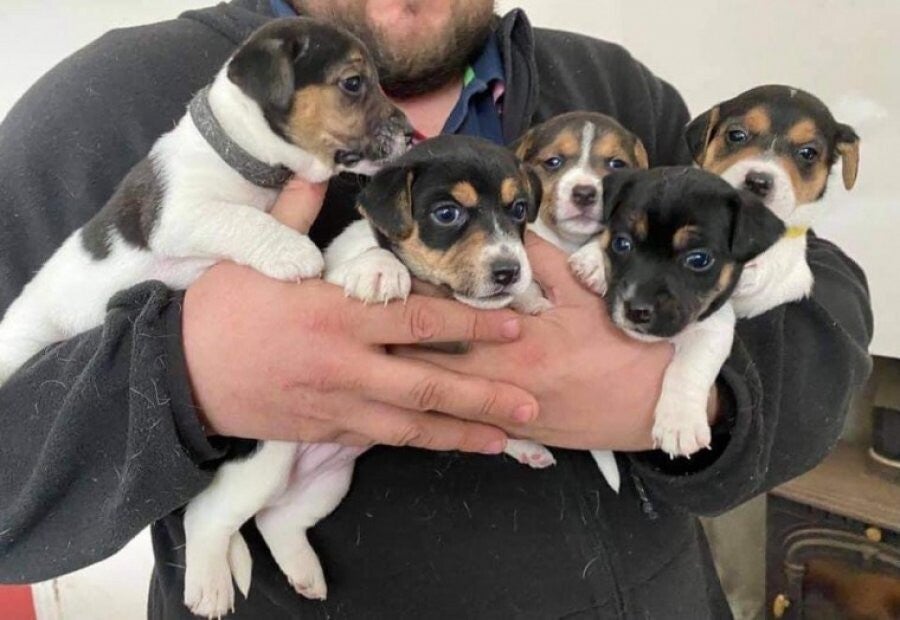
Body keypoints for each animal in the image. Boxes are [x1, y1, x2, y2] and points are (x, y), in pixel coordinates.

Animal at [0, 17, 410, 619]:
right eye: (354, 83)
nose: (413, 135)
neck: (246, 162)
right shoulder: (184, 214)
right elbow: (242, 221)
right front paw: (290, 251)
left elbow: (339, 260)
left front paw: (378, 267)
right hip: (21, 339)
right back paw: (212, 581)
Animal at [512, 111, 649, 490]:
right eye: (553, 162)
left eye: (616, 164)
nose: (586, 192)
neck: (566, 241)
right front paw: (532, 301)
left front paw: (593, 264)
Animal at [569, 167, 784, 460]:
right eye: (621, 243)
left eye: (699, 260)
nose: (636, 310)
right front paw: (591, 260)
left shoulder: (714, 329)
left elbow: (688, 368)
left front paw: (680, 424)